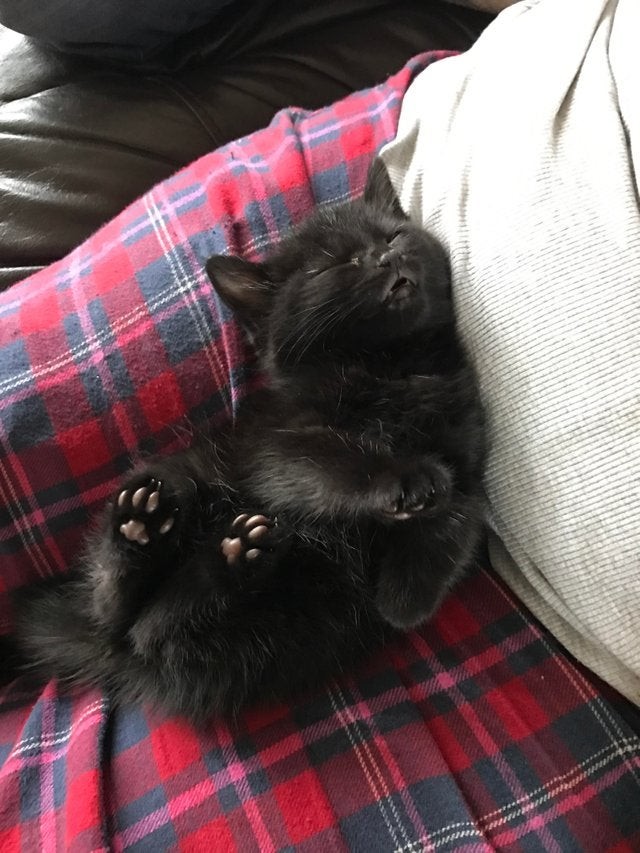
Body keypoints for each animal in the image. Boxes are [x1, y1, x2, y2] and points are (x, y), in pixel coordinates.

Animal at [0, 161, 484, 720]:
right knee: (122, 615)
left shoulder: (467, 442)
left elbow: (458, 513)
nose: (386, 257)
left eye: (393, 236)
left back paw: (234, 557)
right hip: (179, 477)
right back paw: (145, 526)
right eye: (329, 267)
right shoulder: (274, 446)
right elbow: (335, 459)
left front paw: (405, 596)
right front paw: (404, 480)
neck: (392, 367)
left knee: (158, 627)